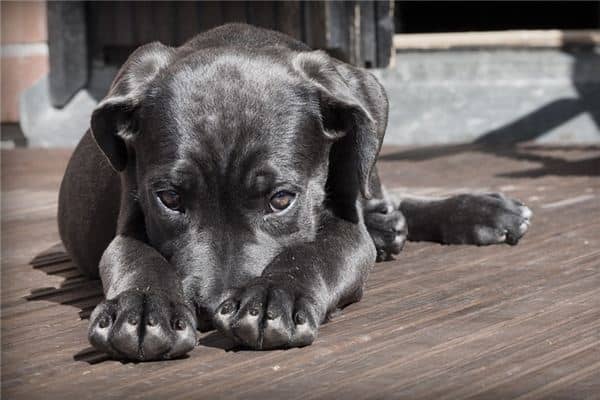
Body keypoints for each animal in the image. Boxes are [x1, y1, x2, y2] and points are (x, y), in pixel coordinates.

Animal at [58, 22, 532, 360]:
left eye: (281, 199)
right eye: (170, 199)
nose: (210, 309)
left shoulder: (346, 227)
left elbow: (315, 252)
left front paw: (273, 296)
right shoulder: (130, 220)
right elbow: (135, 257)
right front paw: (142, 309)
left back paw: (478, 212)